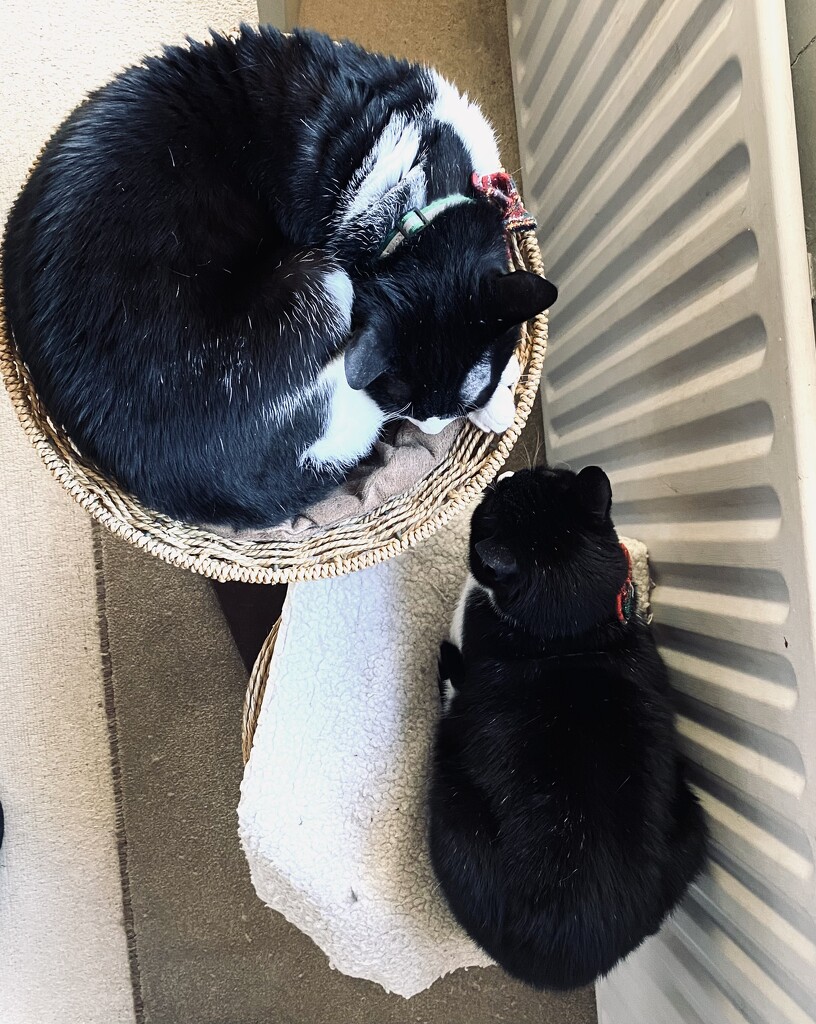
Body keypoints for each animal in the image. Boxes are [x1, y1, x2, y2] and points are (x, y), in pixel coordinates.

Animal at [425, 468, 708, 987]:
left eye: (486, 512)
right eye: (546, 474)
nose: (502, 475)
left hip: (451, 799)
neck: (569, 637)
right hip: (693, 825)